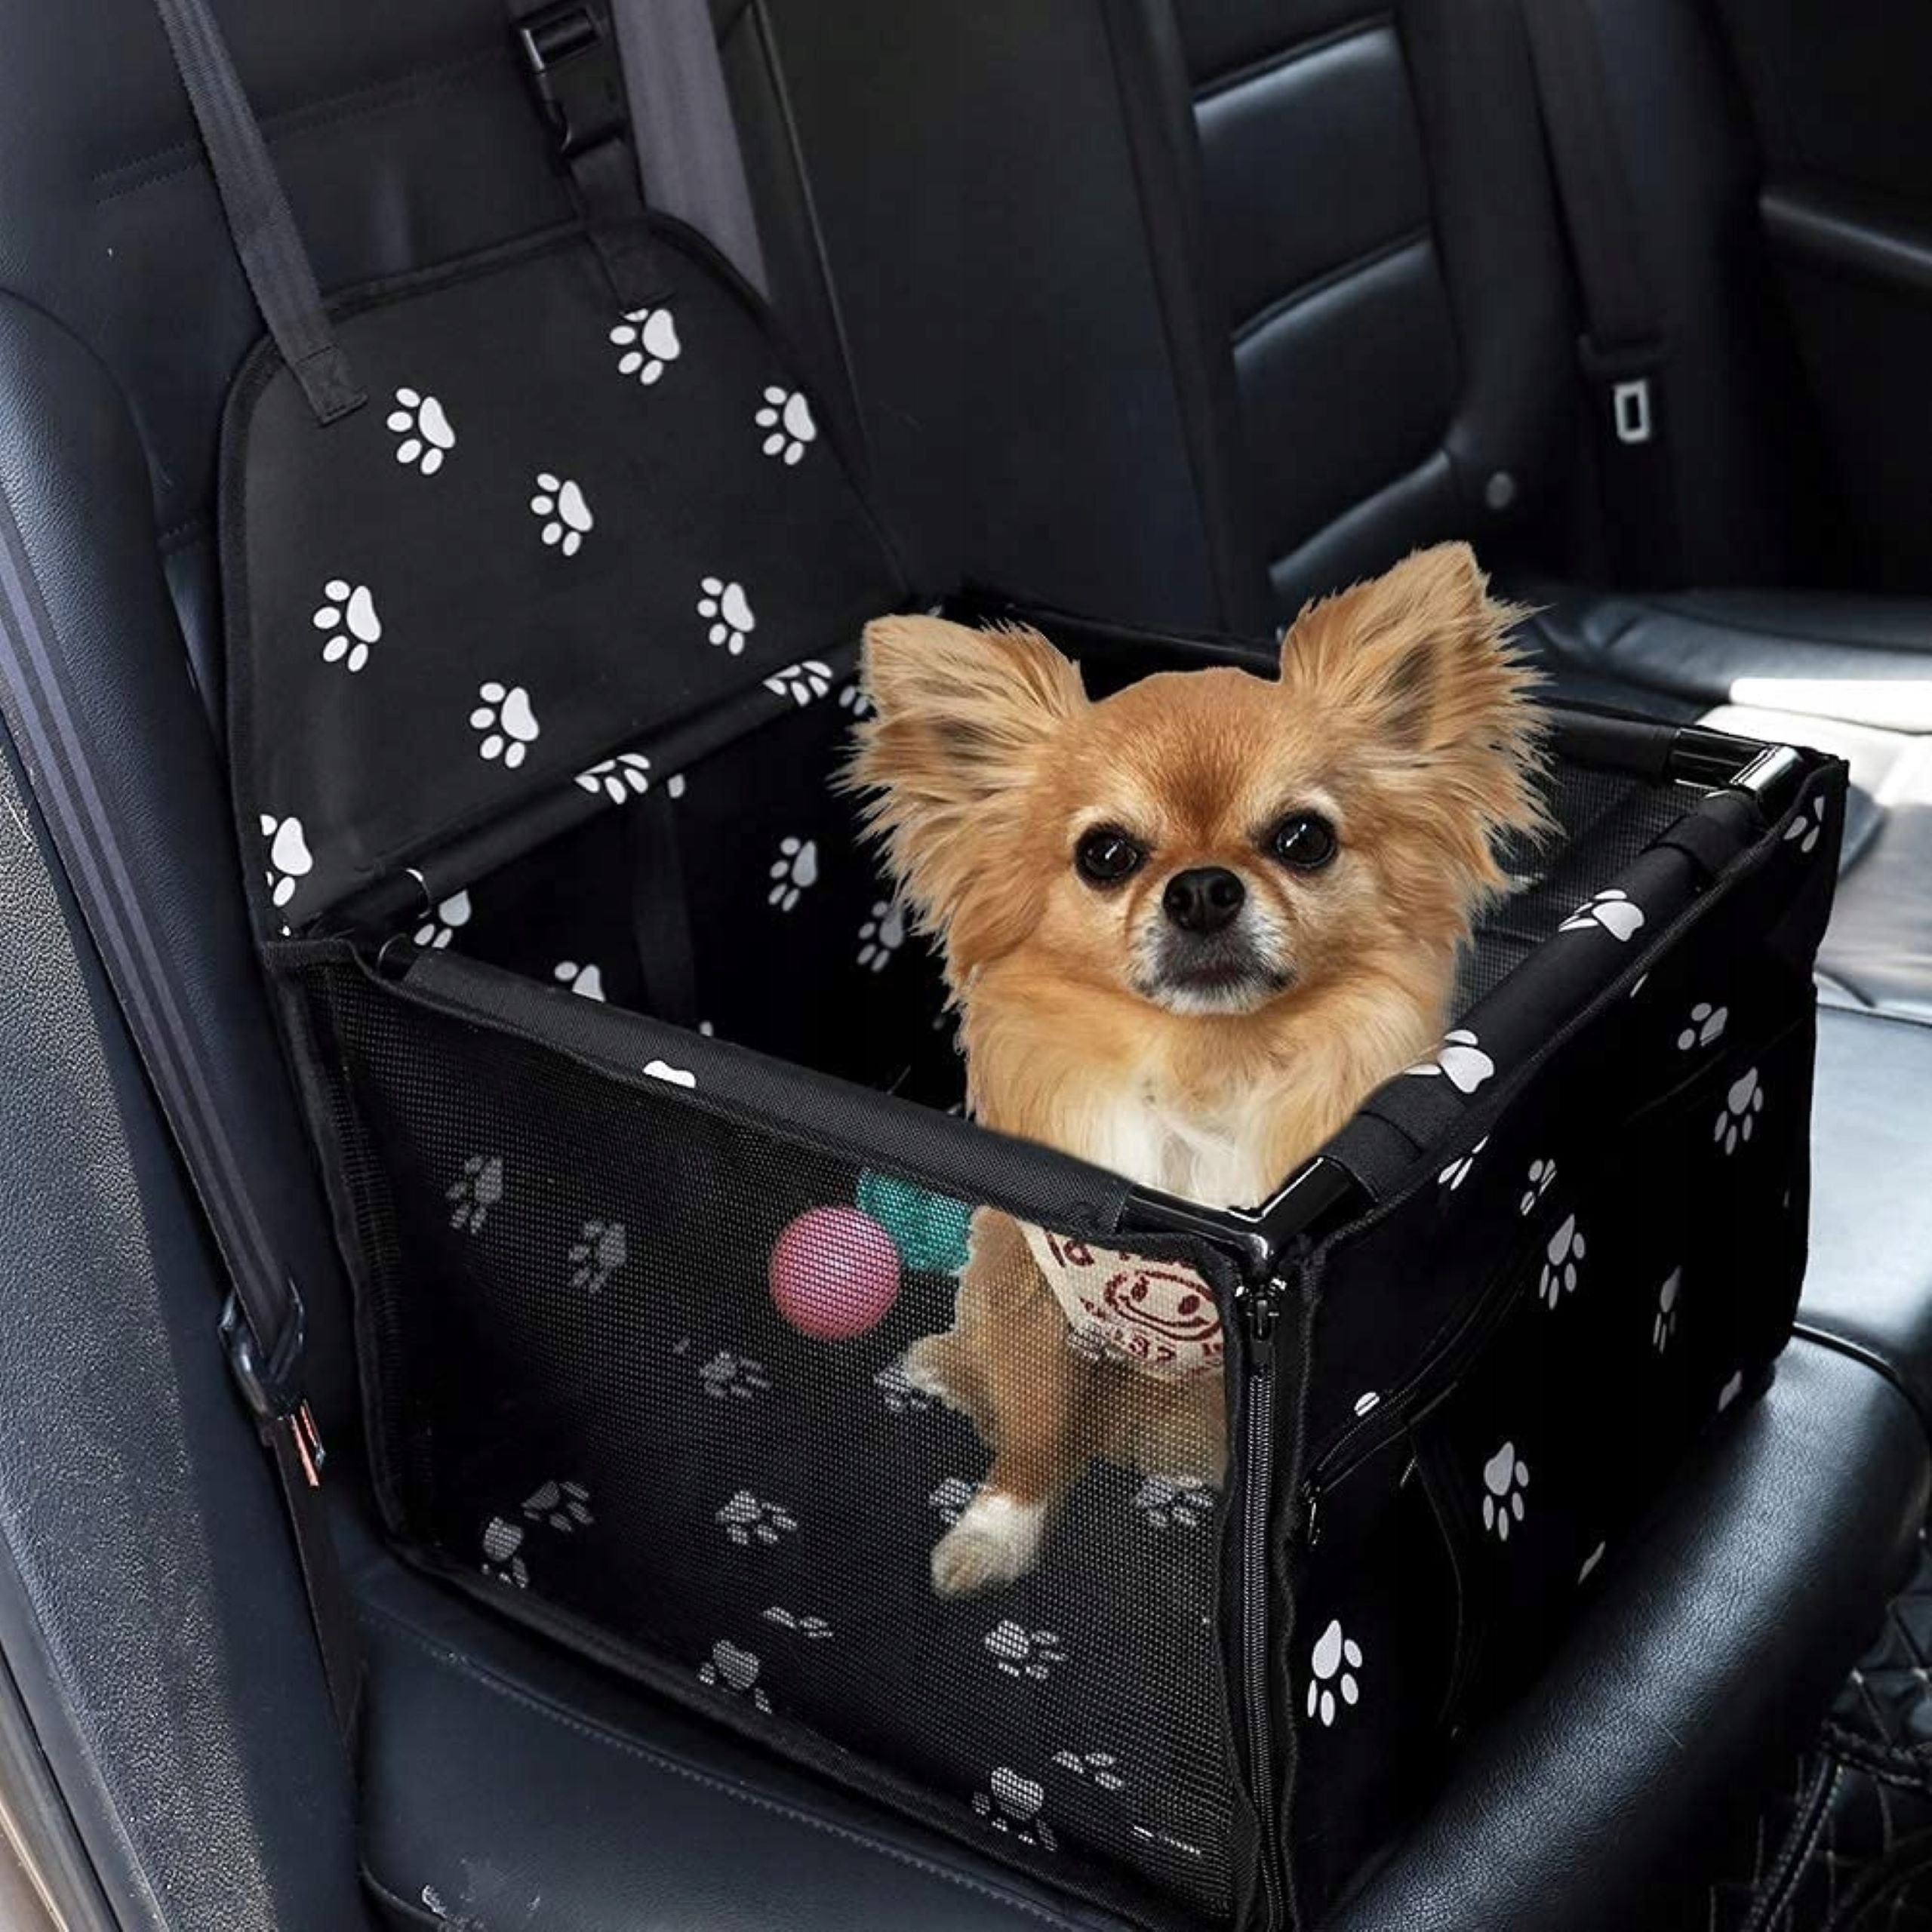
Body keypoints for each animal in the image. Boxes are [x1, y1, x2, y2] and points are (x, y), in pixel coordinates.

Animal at [849, 542, 1546, 1596]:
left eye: (1304, 838)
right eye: (1104, 854)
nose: (1204, 887)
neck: (1208, 1062)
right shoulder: (1039, 1300)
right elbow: (1035, 1433)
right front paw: (995, 1531)